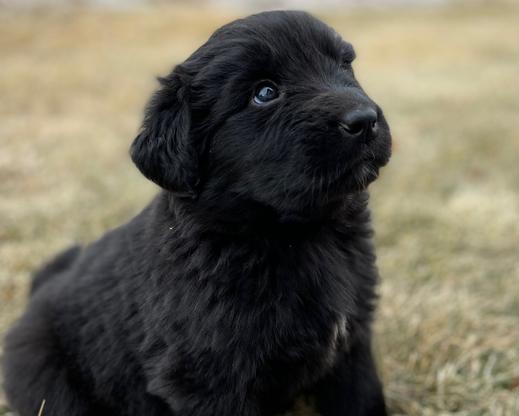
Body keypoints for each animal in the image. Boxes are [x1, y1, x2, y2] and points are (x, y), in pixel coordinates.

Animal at [2, 9, 390, 416]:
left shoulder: (353, 347)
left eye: (345, 65)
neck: (303, 234)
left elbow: (364, 398)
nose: (364, 119)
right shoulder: (209, 379)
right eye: (265, 93)